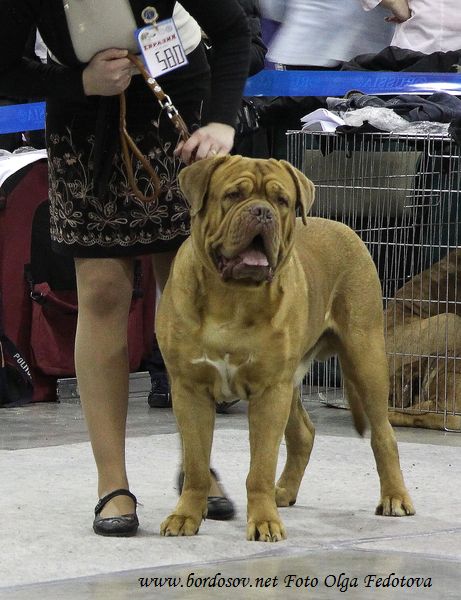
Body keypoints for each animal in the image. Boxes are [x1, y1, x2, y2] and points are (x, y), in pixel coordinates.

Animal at [157, 155, 414, 542]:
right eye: (233, 195)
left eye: (281, 201)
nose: (262, 212)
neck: (232, 297)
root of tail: (347, 228)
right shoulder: (190, 389)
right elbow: (197, 463)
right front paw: (185, 516)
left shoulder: (269, 391)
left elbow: (260, 467)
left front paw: (264, 521)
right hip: (292, 381)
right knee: (303, 434)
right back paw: (286, 491)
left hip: (364, 357)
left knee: (384, 434)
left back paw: (395, 498)